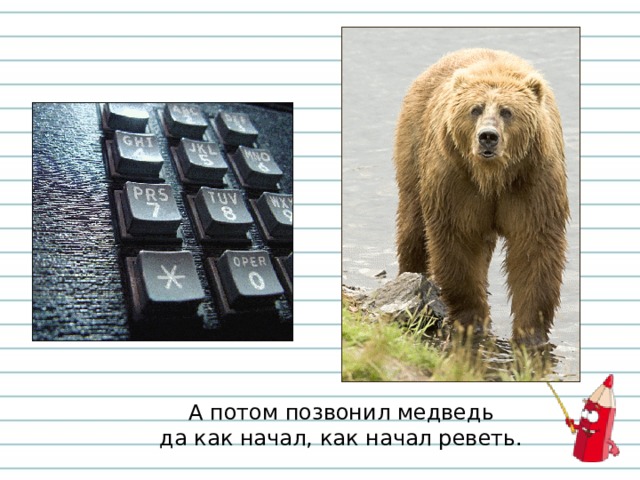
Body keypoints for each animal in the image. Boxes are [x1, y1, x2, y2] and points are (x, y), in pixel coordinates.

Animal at [393, 48, 569, 345]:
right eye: (475, 109)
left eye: (507, 111)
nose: (488, 137)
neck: (493, 177)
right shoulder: (456, 182)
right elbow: (457, 244)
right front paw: (472, 320)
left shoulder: (533, 183)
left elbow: (535, 249)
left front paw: (530, 333)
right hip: (414, 146)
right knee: (413, 226)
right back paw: (410, 275)